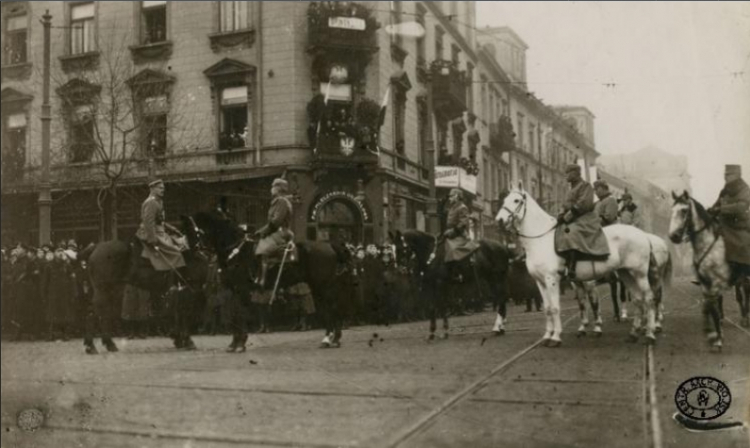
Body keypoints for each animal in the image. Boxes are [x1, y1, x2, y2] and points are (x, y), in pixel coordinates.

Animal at [83, 215, 209, 356]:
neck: (191, 252)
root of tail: (96, 247)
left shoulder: (177, 291)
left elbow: (176, 313)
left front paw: (178, 339)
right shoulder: (190, 288)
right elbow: (184, 313)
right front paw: (186, 340)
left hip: (108, 290)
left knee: (99, 312)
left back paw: (104, 344)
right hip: (103, 289)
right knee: (96, 312)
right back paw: (94, 346)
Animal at [189, 212, 352, 348]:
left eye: (197, 231)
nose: (198, 250)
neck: (236, 251)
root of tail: (330, 245)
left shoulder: (242, 290)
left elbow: (240, 314)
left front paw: (240, 343)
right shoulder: (233, 291)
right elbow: (235, 314)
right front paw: (234, 343)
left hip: (322, 287)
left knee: (330, 308)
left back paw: (328, 339)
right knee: (335, 307)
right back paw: (335, 338)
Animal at [500, 187, 664, 344]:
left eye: (516, 200)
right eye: (504, 199)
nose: (499, 220)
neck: (541, 240)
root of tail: (644, 235)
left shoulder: (553, 280)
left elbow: (557, 307)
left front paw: (556, 337)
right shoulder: (541, 282)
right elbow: (548, 308)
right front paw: (547, 336)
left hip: (640, 274)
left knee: (649, 298)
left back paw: (650, 333)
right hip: (626, 273)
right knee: (638, 299)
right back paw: (633, 334)